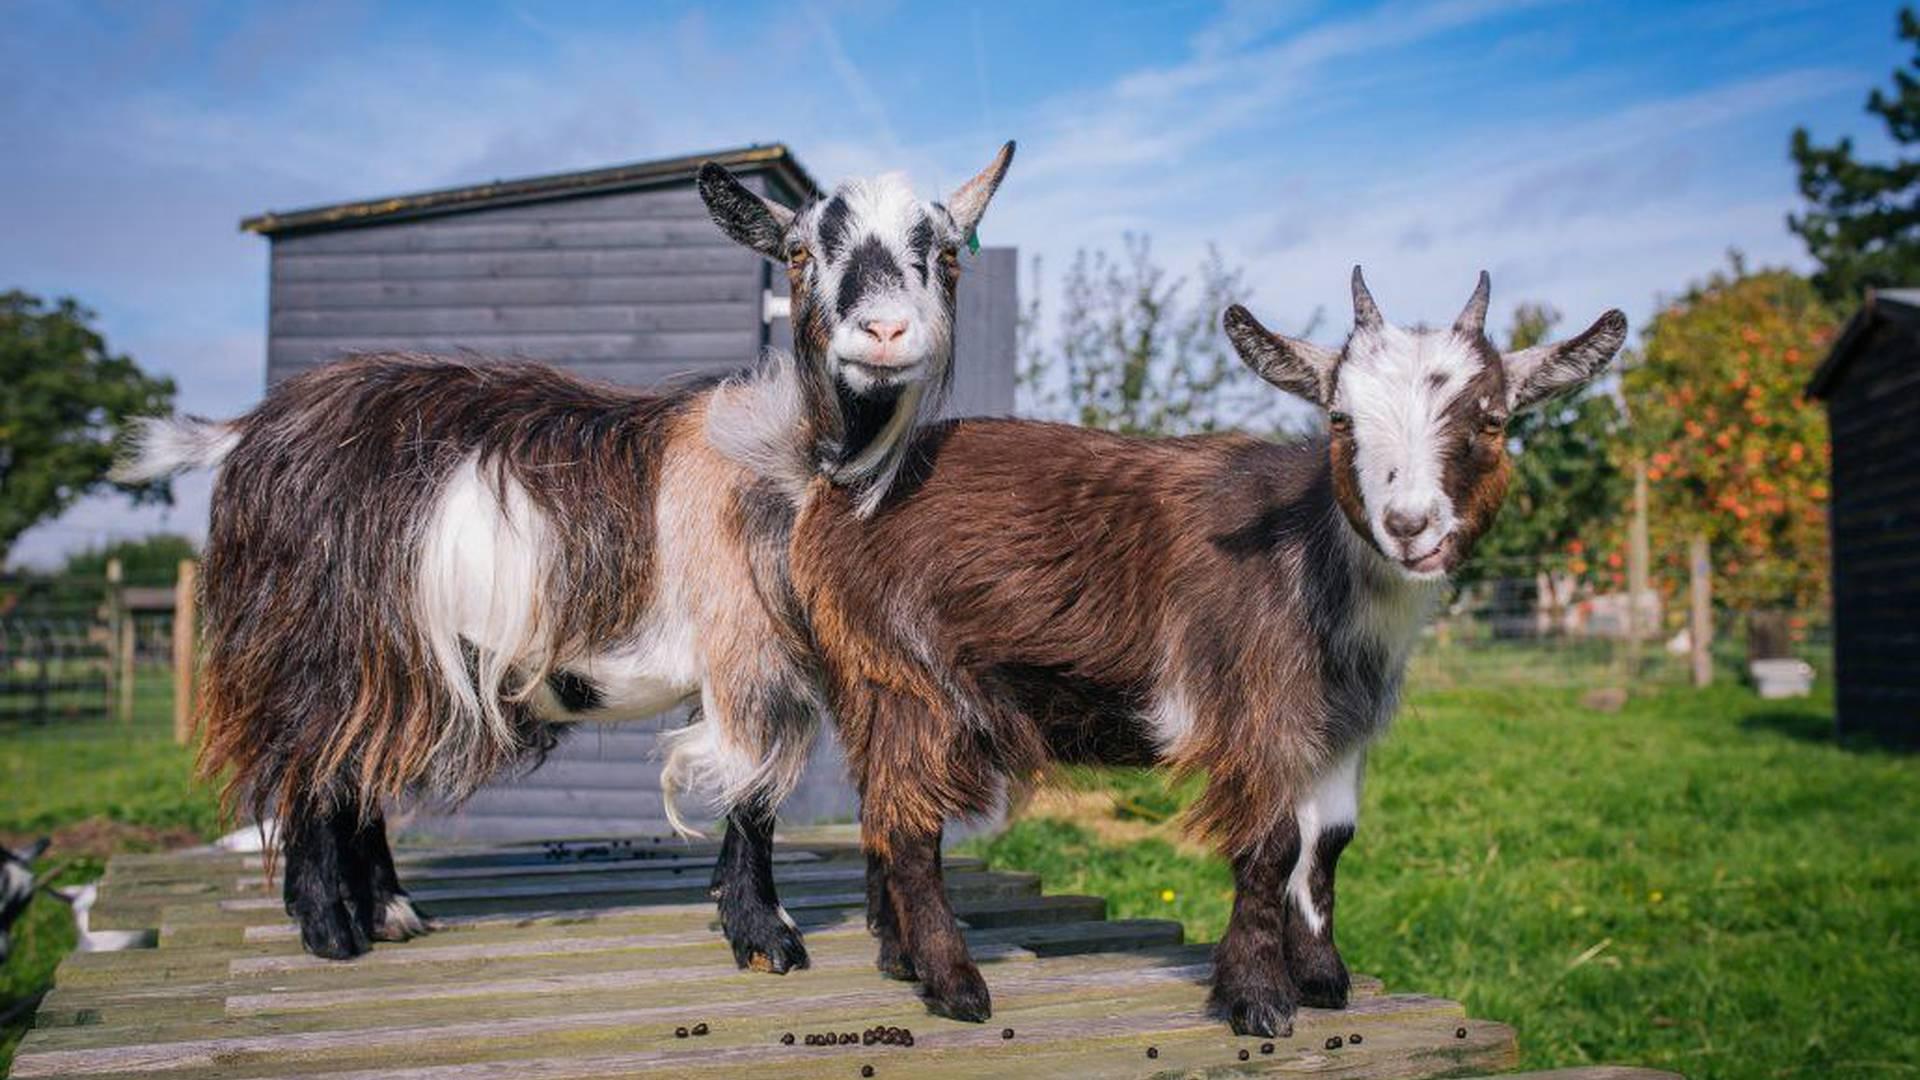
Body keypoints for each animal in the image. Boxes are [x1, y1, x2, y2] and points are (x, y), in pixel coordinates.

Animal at [116, 141, 1021, 957]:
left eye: (946, 255)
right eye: (798, 254)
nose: (884, 331)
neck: (790, 459)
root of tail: (247, 431)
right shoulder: (746, 649)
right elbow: (751, 791)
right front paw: (765, 935)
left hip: (393, 659)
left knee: (357, 763)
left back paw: (391, 913)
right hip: (312, 647)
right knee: (313, 769)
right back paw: (329, 931)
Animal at [787, 269, 1628, 1022]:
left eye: (1491, 420)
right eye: (1341, 419)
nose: (1410, 525)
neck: (1311, 554)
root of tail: (837, 487)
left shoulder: (1338, 730)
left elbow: (1329, 845)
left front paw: (1323, 979)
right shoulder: (1255, 713)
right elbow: (1275, 845)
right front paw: (1257, 997)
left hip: (867, 684)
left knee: (879, 806)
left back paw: (899, 959)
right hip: (908, 672)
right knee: (909, 821)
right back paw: (955, 984)